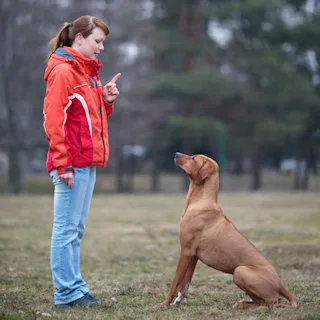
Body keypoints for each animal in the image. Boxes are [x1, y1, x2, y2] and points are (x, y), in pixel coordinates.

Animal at [161, 154, 298, 308]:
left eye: (193, 159)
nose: (176, 154)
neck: (201, 202)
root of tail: (281, 285)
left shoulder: (186, 251)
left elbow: (175, 282)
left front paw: (164, 303)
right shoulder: (193, 255)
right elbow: (185, 283)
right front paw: (177, 301)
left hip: (240, 271)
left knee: (271, 302)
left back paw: (243, 305)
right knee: (264, 301)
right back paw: (243, 303)